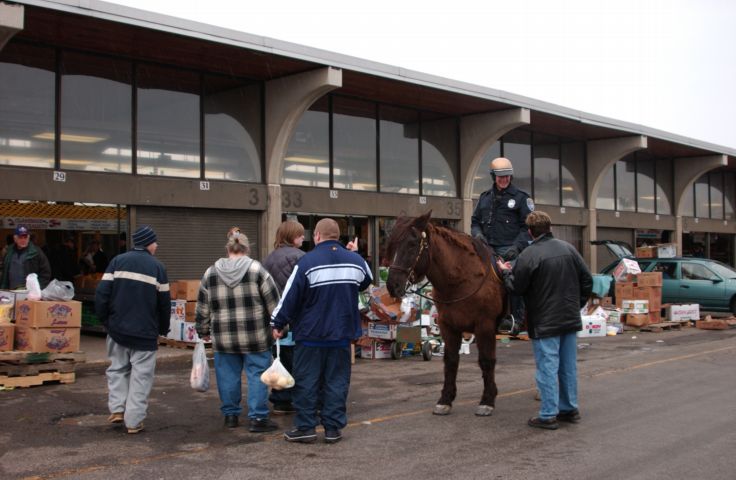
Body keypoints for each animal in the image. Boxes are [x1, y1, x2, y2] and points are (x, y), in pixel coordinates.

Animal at [386, 211, 506, 416]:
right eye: (392, 243)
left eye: (412, 244)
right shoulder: (448, 326)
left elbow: (486, 361)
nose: (392, 285)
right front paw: (445, 400)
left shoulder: (485, 326)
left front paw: (487, 400)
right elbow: (450, 361)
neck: (463, 279)